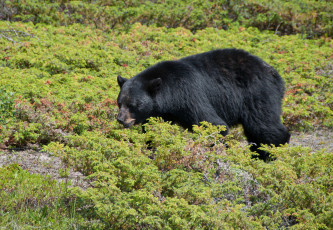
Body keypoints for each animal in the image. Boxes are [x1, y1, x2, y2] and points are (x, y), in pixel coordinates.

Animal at [116, 48, 288, 160]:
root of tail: (275, 74)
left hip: (257, 93)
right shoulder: (160, 114)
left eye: (133, 105)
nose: (120, 119)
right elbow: (154, 131)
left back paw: (270, 153)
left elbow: (212, 124)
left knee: (263, 126)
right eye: (119, 103)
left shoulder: (188, 94)